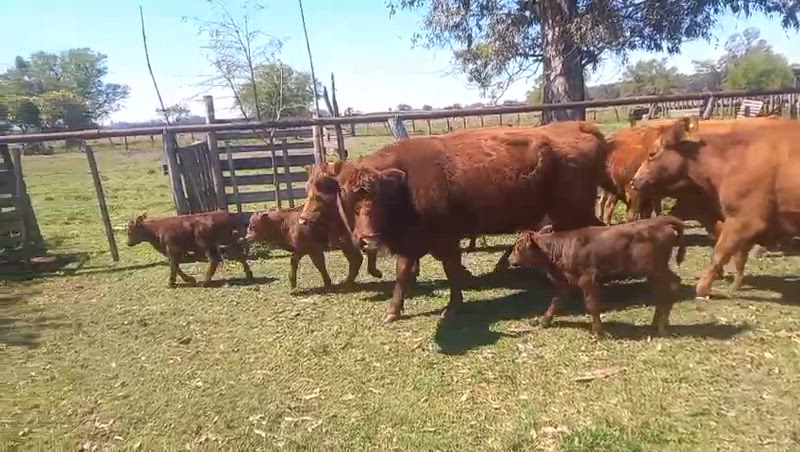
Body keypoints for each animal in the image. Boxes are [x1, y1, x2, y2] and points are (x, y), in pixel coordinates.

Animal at [245, 205, 383, 289]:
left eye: (252, 226)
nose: (246, 238)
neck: (287, 223)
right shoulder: (304, 250)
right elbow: (297, 261)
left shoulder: (311, 249)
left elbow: (318, 264)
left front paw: (327, 283)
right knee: (359, 258)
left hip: (347, 244)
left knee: (360, 257)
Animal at [299, 122, 608, 323]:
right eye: (344, 192)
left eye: (377, 194)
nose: (368, 238)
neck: (405, 183)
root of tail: (580, 127)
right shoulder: (412, 243)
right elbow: (404, 273)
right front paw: (393, 310)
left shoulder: (445, 238)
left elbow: (451, 269)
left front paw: (455, 303)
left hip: (572, 212)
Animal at [508, 216, 686, 340]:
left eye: (518, 247)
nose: (509, 260)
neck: (560, 248)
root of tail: (662, 221)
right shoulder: (566, 282)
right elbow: (556, 301)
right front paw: (544, 321)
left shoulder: (587, 279)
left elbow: (592, 305)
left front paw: (598, 333)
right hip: (653, 273)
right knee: (661, 293)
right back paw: (655, 324)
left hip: (657, 269)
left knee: (675, 283)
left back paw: (662, 327)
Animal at [631, 117, 800, 298]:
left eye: (652, 153)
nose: (634, 181)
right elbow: (738, 257)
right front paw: (735, 285)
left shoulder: (744, 219)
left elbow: (720, 253)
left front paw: (703, 288)